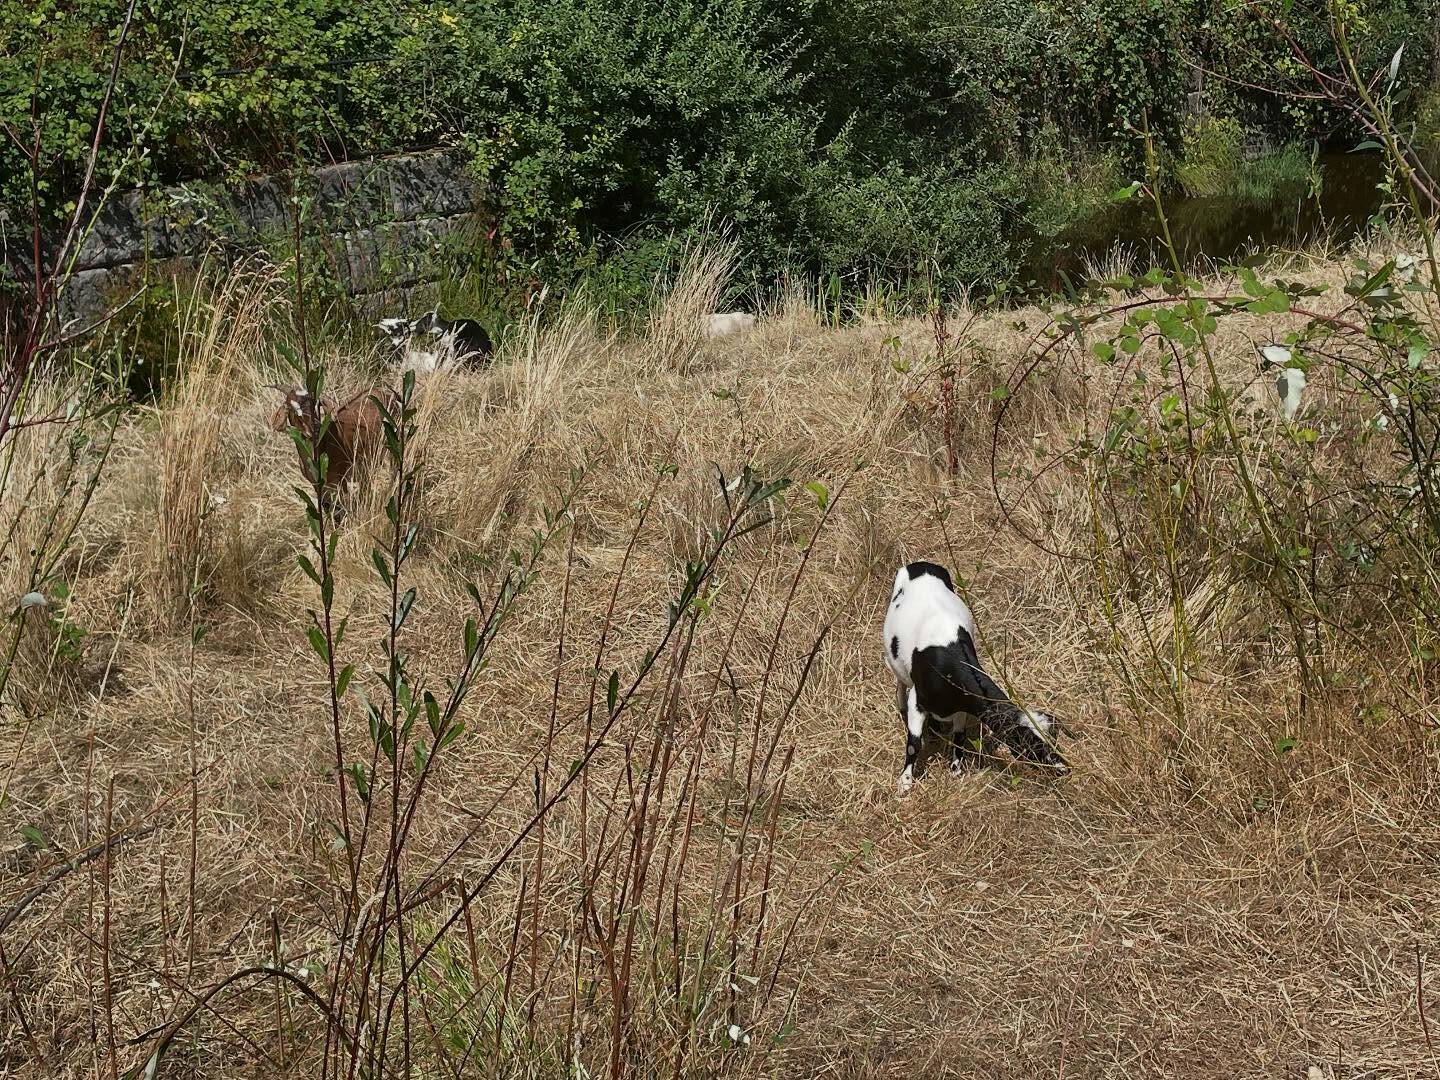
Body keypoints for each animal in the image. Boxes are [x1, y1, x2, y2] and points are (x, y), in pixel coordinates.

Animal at [883, 561, 1068, 793]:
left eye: (1054, 739)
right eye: (1031, 746)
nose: (1064, 768)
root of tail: (920, 565)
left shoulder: (962, 706)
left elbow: (959, 736)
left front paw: (956, 770)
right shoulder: (918, 700)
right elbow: (913, 745)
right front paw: (905, 781)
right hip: (895, 661)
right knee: (900, 682)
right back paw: (902, 705)